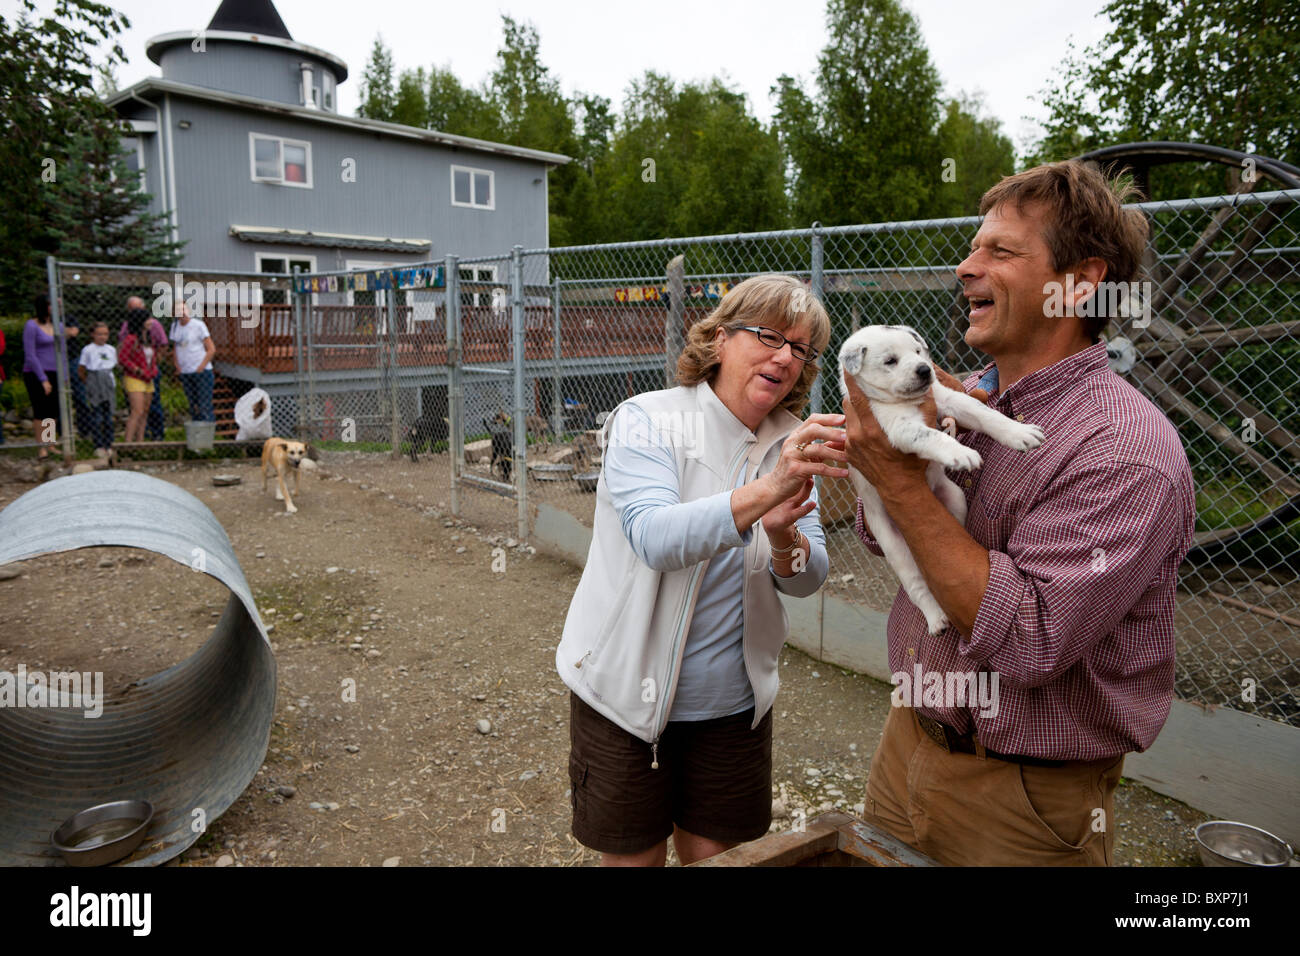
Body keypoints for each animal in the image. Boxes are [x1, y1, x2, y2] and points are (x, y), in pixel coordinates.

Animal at [842, 327, 1045, 634]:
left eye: (917, 351)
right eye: (890, 361)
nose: (925, 370)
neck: (906, 401)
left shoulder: (949, 400)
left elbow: (985, 414)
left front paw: (1018, 432)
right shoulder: (897, 427)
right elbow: (931, 435)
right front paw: (960, 453)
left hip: (955, 497)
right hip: (893, 545)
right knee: (917, 585)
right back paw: (936, 617)